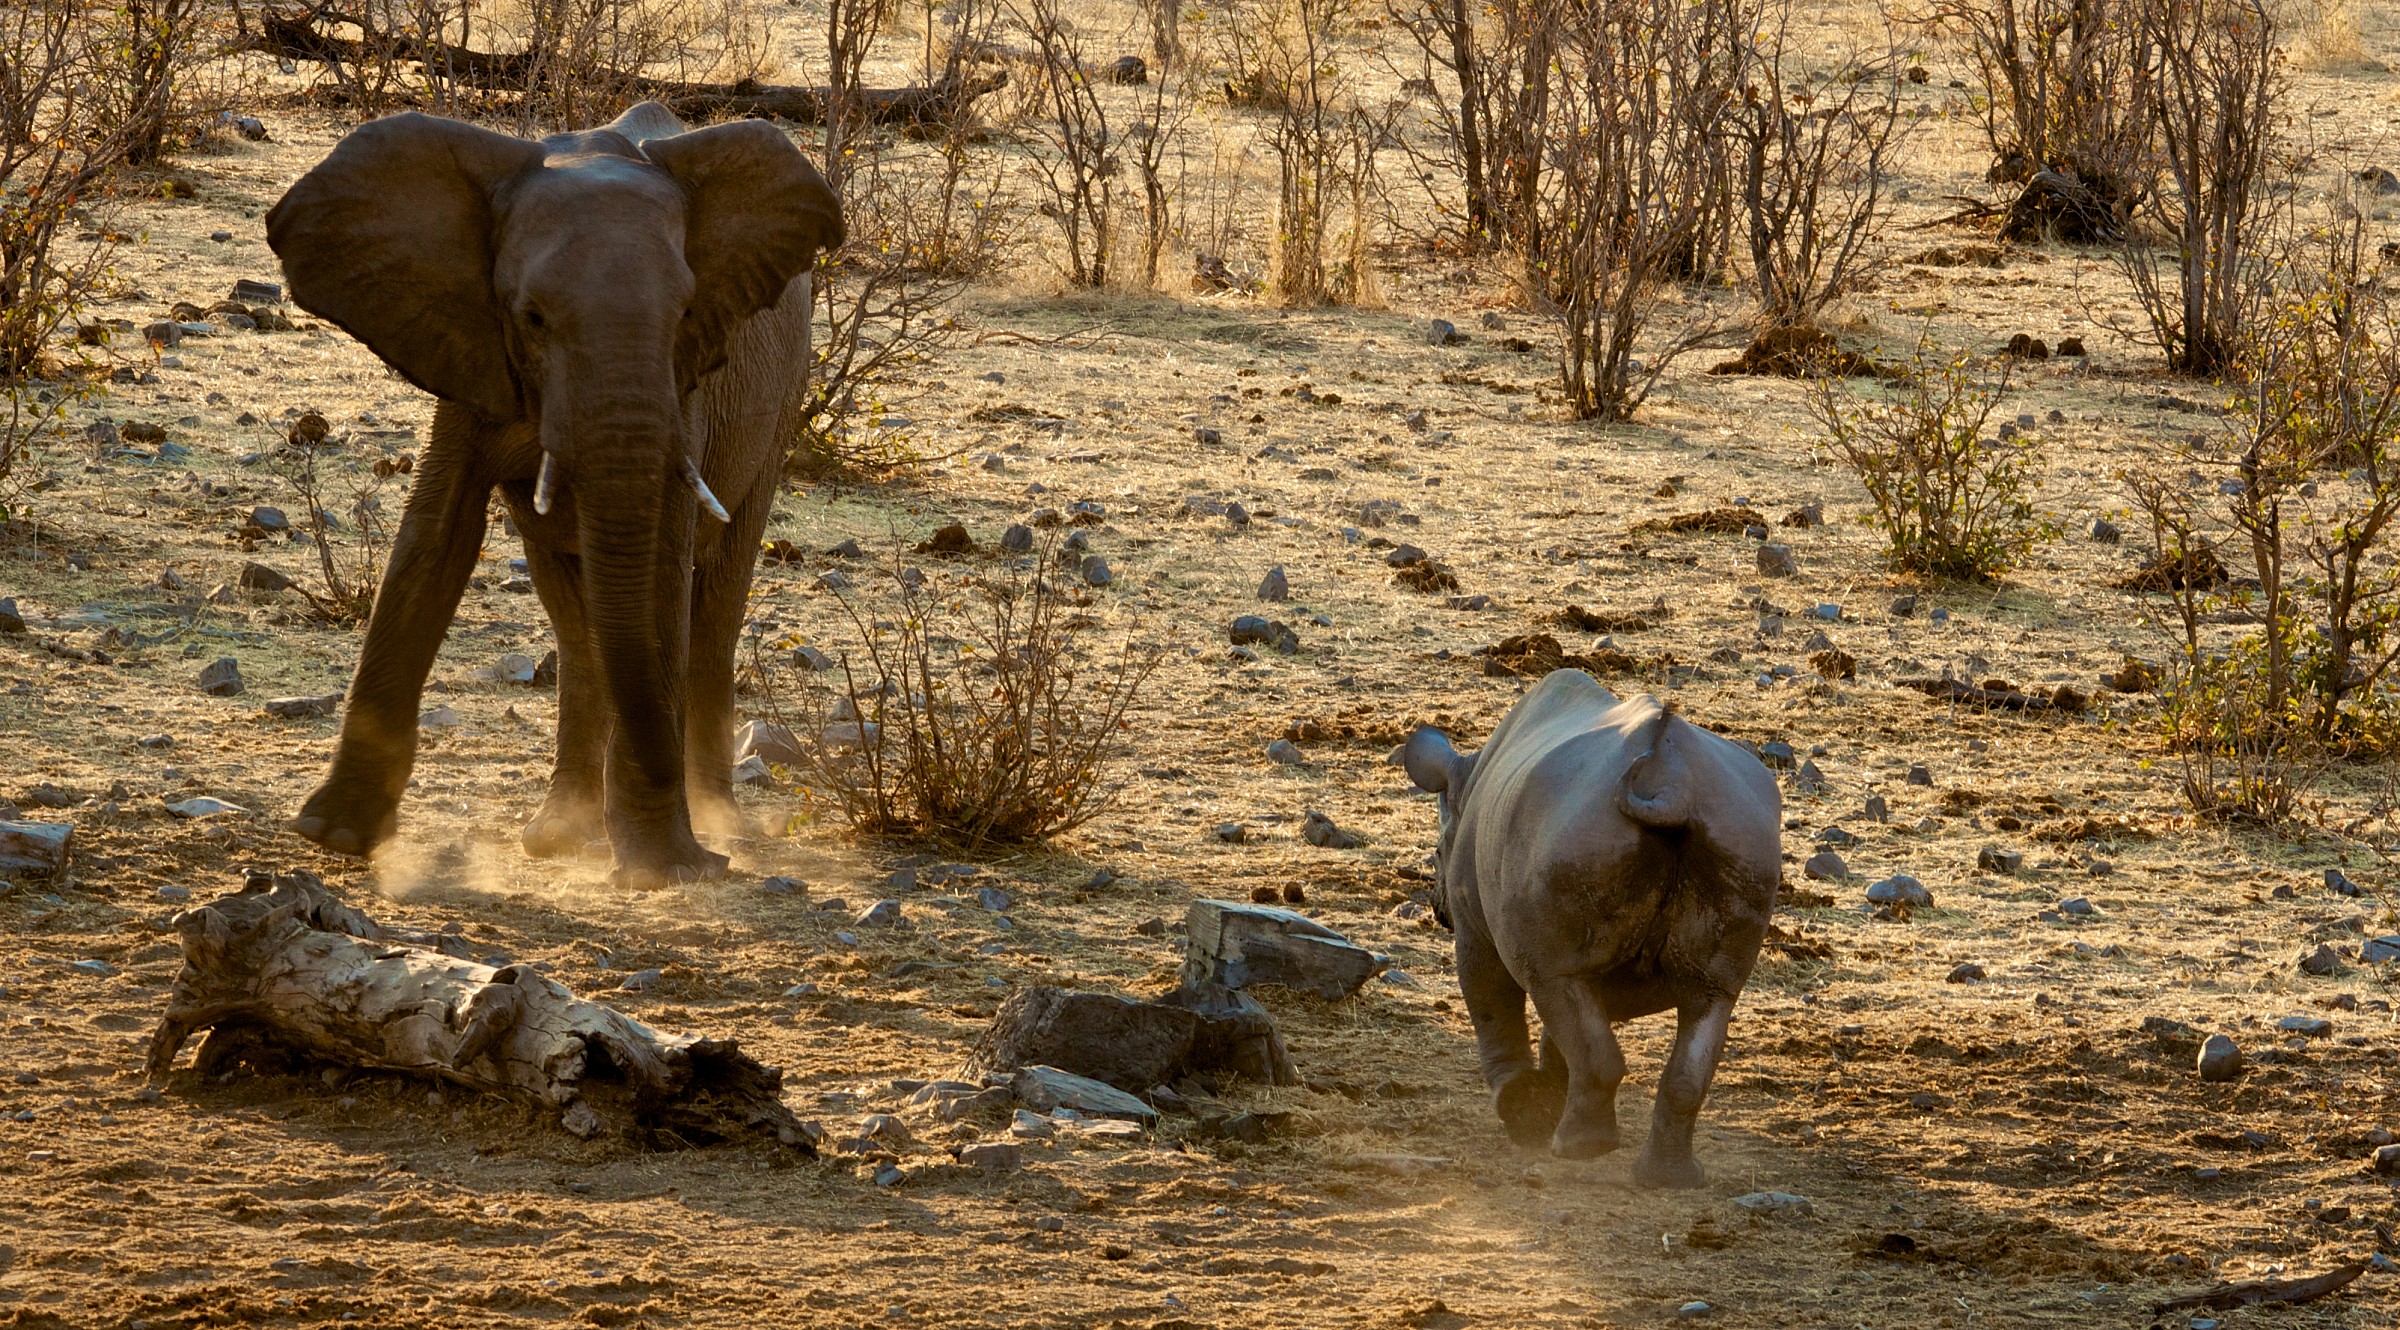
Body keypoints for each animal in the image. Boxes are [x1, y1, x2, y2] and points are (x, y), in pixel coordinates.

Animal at [264, 101, 844, 886]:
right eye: (533, 317)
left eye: (686, 312)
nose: (711, 863)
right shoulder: (467, 345)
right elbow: (435, 535)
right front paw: (334, 836)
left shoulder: (686, 383)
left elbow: (661, 564)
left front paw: (664, 870)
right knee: (575, 617)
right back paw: (561, 835)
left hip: (782, 403)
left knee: (717, 596)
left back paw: (716, 822)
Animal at [1403, 670, 1780, 1188]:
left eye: (1436, 856)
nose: (1435, 909)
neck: (1467, 778)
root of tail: (1669, 785)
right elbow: (1569, 1025)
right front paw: (1543, 1099)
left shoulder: (1476, 927)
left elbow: (1492, 1003)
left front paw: (1522, 1114)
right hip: (1737, 833)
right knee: (1709, 1000)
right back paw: (1668, 1178)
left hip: (1574, 830)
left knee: (1551, 988)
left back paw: (1575, 1150)